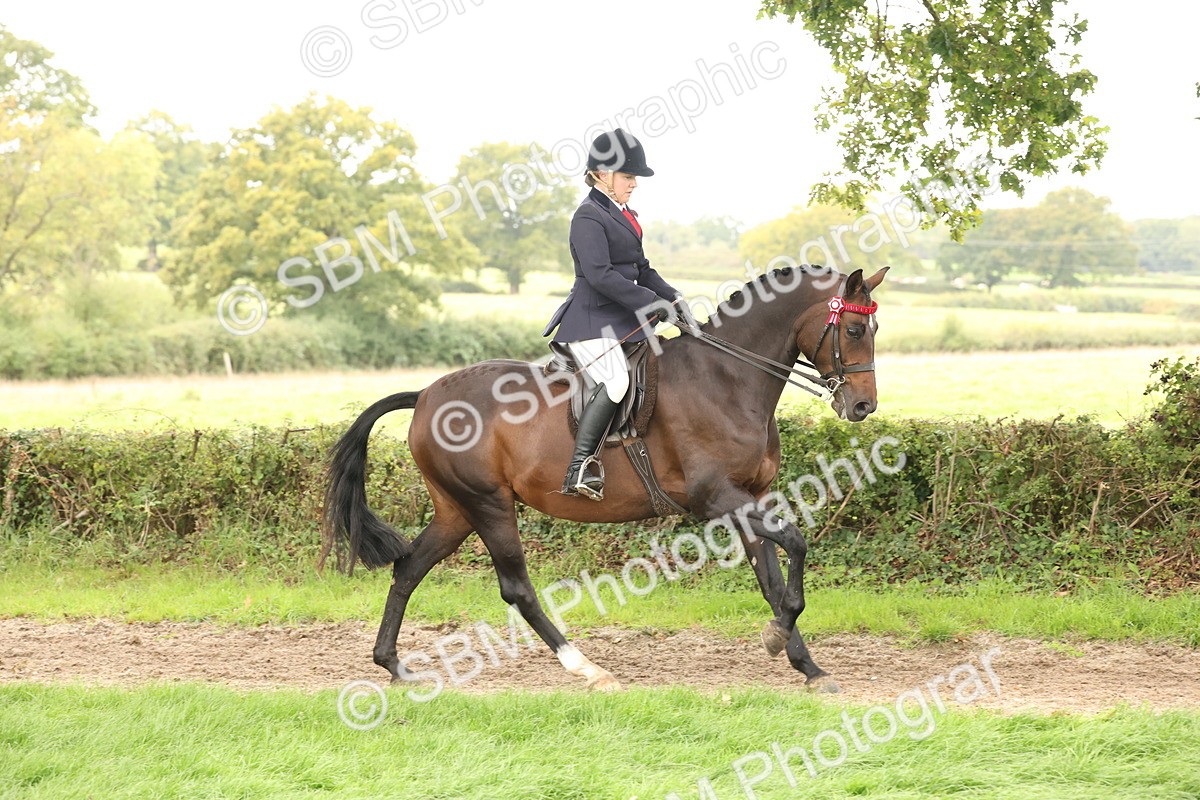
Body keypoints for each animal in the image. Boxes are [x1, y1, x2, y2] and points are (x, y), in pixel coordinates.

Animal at [322, 264, 889, 692]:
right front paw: (779, 638)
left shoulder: (752, 496)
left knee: (409, 568)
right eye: (854, 330)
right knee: (516, 588)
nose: (863, 406)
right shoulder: (717, 498)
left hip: (457, 510)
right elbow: (796, 546)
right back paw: (589, 670)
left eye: (873, 330)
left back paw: (393, 665)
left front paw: (806, 665)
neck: (728, 378)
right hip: (488, 505)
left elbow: (771, 578)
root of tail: (424, 396)